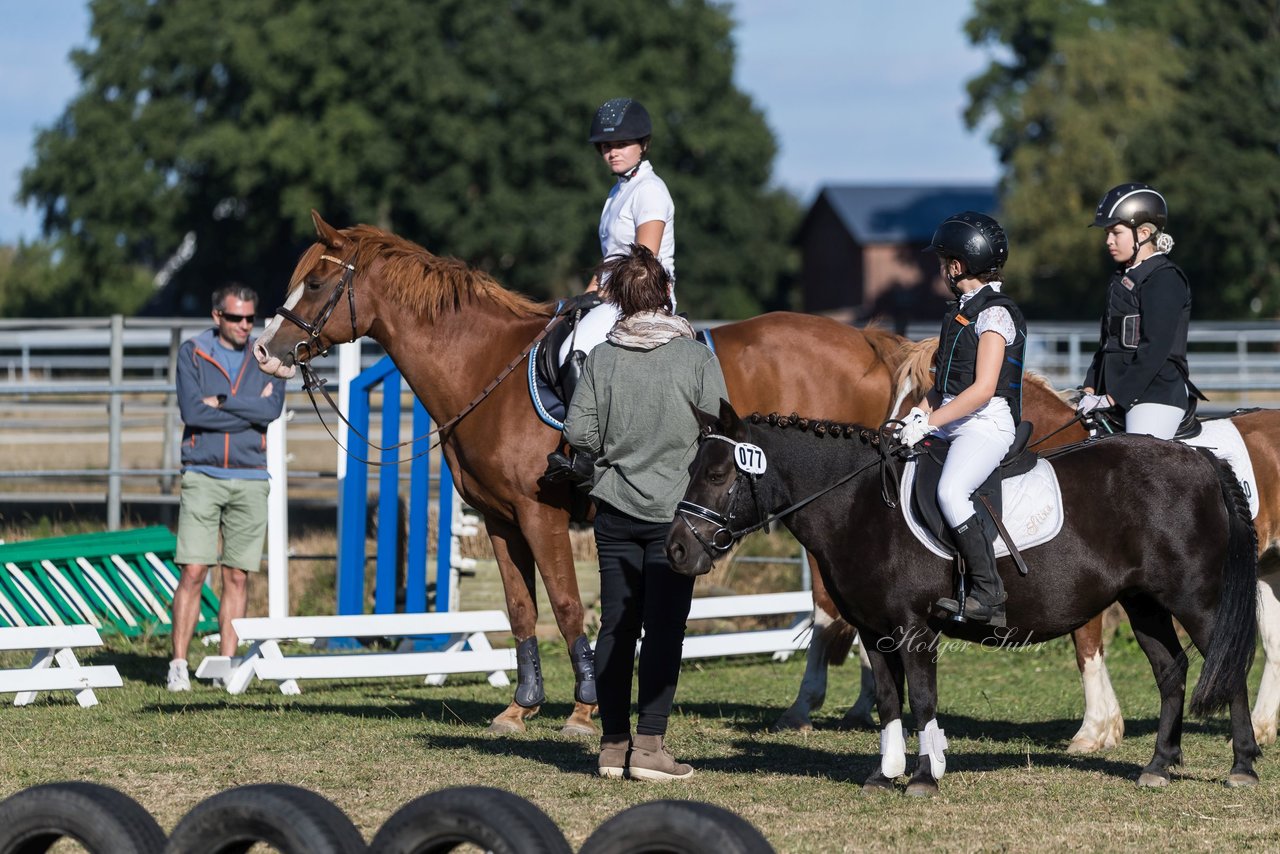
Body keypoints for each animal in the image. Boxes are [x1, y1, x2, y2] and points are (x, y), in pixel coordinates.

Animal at [254, 212, 906, 737]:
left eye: (316, 283)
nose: (265, 350)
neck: (485, 370)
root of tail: (867, 342)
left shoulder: (541, 516)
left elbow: (567, 605)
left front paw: (583, 708)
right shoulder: (500, 520)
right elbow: (521, 610)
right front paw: (520, 707)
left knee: (830, 604)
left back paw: (810, 708)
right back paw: (857, 707)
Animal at [670, 402, 1259, 793]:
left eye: (719, 474)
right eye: (693, 469)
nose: (676, 549)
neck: (860, 505)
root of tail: (1196, 457)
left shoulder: (914, 629)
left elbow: (923, 699)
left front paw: (924, 779)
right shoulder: (874, 630)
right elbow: (890, 701)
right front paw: (884, 775)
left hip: (1196, 599)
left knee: (1227, 667)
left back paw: (1242, 767)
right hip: (1144, 602)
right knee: (1172, 670)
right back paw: (1158, 767)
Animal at [783, 340, 1280, 752]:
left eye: (923, 393)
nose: (889, 445)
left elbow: (1086, 643)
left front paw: (1095, 730)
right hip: (1265, 572)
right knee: (1272, 644)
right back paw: (1260, 728)